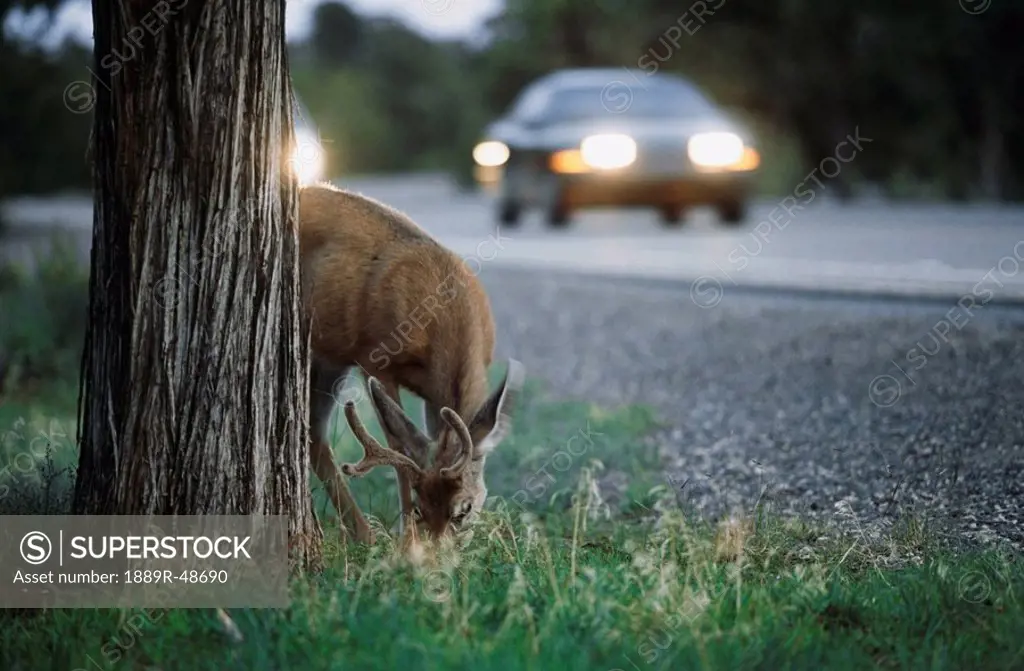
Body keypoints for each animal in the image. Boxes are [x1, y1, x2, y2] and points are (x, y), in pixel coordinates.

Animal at [296, 182, 520, 544]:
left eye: (465, 509)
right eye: (419, 507)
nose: (439, 551)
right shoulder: (376, 358)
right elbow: (398, 446)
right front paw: (406, 538)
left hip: (331, 356)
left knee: (315, 432)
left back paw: (362, 535)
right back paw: (364, 535)